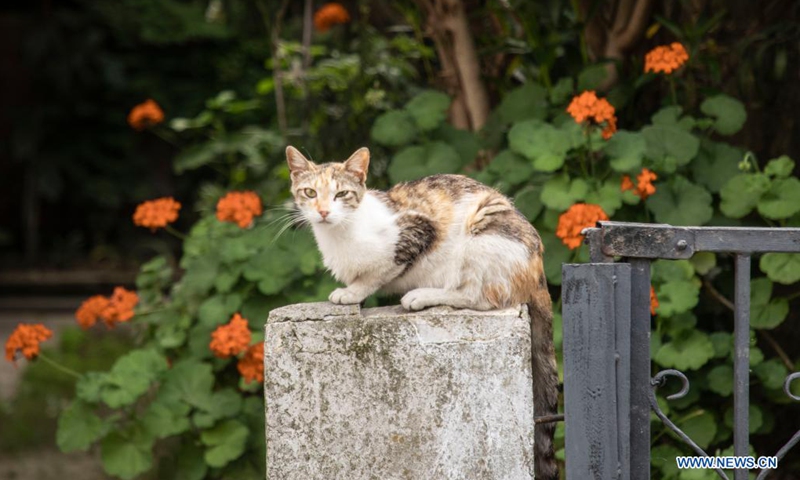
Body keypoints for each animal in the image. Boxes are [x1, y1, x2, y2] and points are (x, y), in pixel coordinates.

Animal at [286, 146, 556, 480]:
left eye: (342, 194)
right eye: (310, 193)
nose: (323, 212)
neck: (341, 235)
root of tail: (538, 271)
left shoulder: (417, 230)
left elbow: (380, 272)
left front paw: (353, 291)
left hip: (481, 235)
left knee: (476, 295)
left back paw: (421, 296)